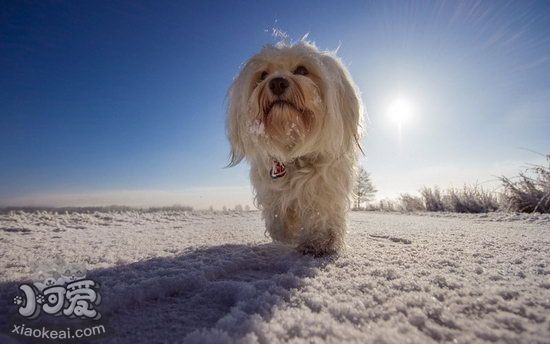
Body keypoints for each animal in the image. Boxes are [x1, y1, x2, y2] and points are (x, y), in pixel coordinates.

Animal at [226, 39, 364, 255]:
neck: (292, 149)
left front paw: (320, 243)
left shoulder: (324, 185)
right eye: (263, 75)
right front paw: (285, 233)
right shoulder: (270, 187)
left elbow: (321, 212)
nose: (277, 82)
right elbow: (277, 214)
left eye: (302, 70)